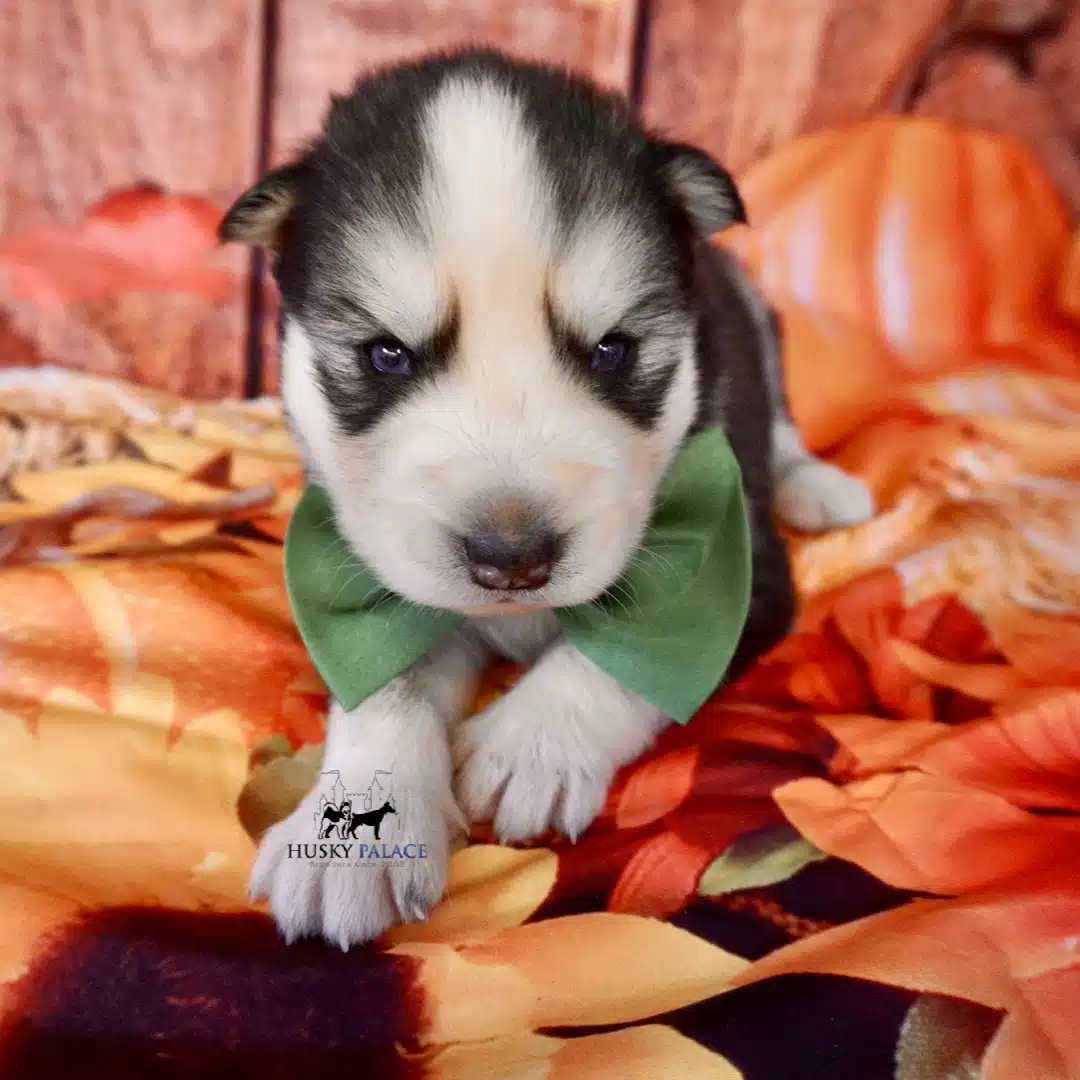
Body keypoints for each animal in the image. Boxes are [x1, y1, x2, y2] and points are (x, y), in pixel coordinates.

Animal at [221, 48, 876, 946]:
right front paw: (354, 837)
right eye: (386, 354)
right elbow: (387, 676)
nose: (512, 559)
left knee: (783, 422)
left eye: (612, 350)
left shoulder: (736, 568)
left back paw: (818, 486)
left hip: (755, 318)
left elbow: (631, 649)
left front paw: (532, 744)